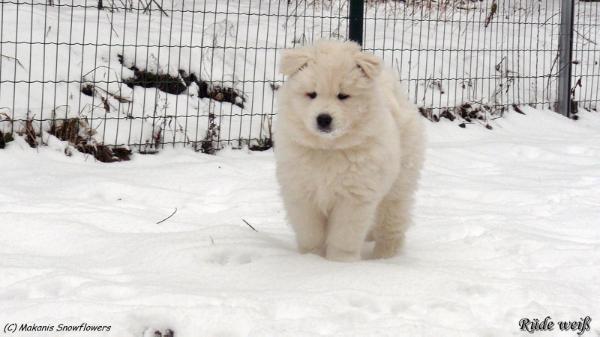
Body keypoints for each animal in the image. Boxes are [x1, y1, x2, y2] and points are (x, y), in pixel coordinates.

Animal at [274, 40, 424, 262]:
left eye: (343, 96)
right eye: (312, 94)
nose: (324, 119)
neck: (328, 149)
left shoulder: (354, 197)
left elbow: (344, 236)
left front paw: (340, 264)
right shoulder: (301, 193)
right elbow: (310, 234)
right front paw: (312, 259)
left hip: (400, 181)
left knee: (392, 219)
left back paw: (385, 256)